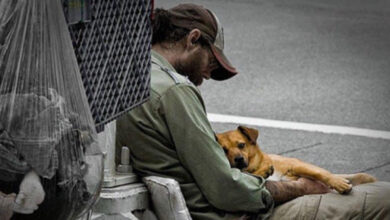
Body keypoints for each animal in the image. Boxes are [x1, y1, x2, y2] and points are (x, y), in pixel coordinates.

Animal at [216, 125, 378, 194]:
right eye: (224, 150)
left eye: (241, 144)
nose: (238, 159)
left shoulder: (296, 165)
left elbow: (320, 173)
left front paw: (338, 183)